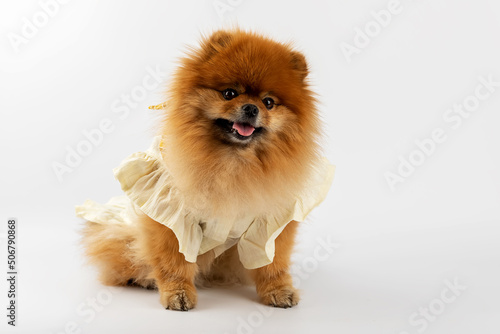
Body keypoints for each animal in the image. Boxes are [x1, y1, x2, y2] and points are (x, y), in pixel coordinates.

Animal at [77, 28, 336, 310]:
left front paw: (278, 290)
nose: (251, 107)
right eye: (229, 94)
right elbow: (173, 261)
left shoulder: (269, 223)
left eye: (268, 102)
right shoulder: (173, 216)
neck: (234, 162)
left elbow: (273, 263)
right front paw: (177, 293)